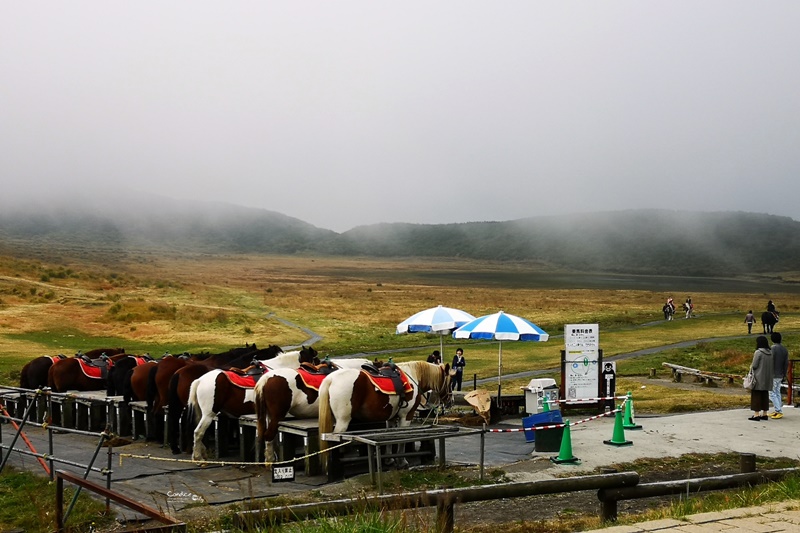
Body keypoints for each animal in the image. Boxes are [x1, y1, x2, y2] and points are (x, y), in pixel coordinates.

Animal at [320, 362, 456, 470]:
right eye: (450, 382)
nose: (451, 401)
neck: (413, 377)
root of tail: (331, 379)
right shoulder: (406, 416)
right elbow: (402, 439)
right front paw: (402, 462)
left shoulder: (391, 418)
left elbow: (390, 436)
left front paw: (389, 460)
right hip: (342, 421)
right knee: (333, 440)